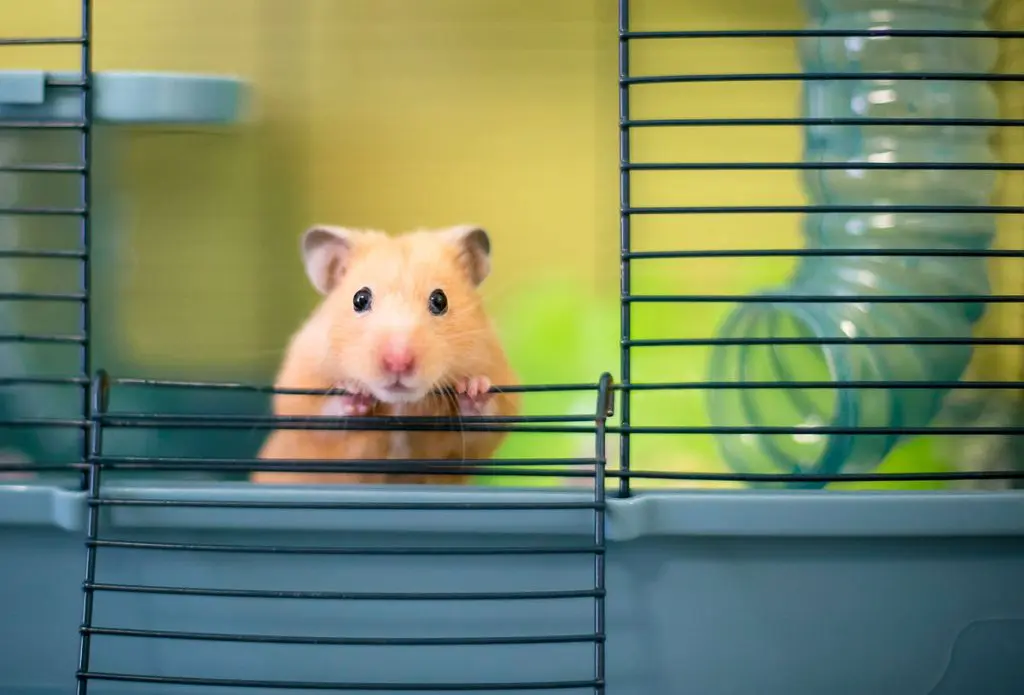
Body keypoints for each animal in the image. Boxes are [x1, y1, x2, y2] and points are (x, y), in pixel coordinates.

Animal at [248, 225, 520, 487]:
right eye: (360, 299)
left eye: (440, 300)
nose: (398, 362)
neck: (400, 403)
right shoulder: (300, 389)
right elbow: (320, 414)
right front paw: (354, 392)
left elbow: (486, 419)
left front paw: (473, 387)